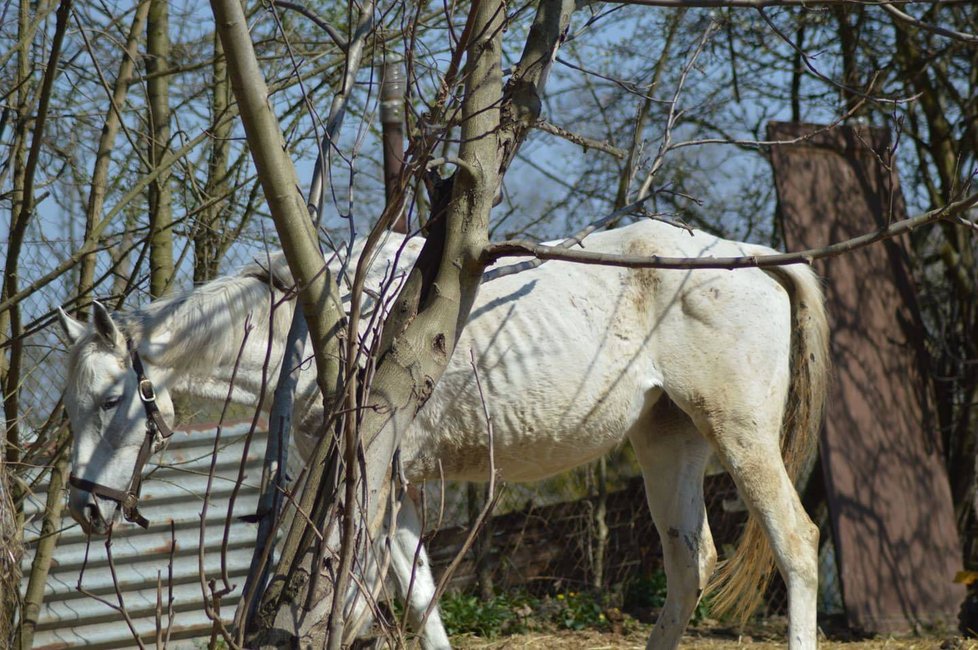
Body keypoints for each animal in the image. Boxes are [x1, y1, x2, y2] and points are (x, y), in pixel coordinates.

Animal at [59, 218, 824, 648]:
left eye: (111, 399)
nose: (85, 507)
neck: (326, 330)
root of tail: (747, 253)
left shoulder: (370, 485)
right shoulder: (393, 488)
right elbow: (421, 602)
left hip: (739, 434)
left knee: (796, 546)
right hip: (669, 442)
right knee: (687, 570)